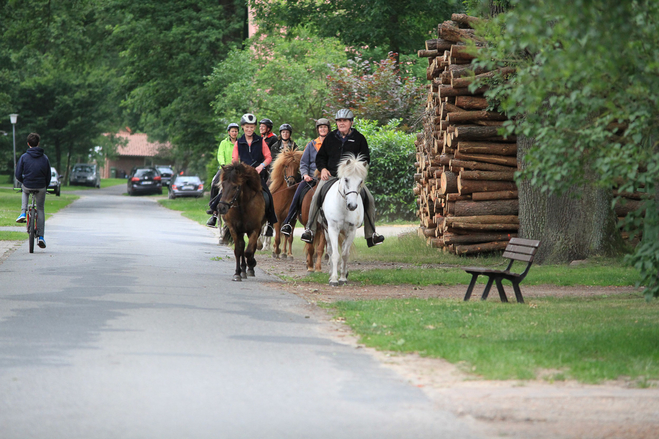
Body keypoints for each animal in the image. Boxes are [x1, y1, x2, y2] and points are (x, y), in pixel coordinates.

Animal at [318, 153, 366, 288]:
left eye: (361, 181)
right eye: (346, 179)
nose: (352, 206)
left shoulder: (351, 231)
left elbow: (345, 254)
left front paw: (343, 277)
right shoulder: (333, 229)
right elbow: (335, 254)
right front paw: (334, 279)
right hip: (326, 231)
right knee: (329, 250)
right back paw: (330, 274)